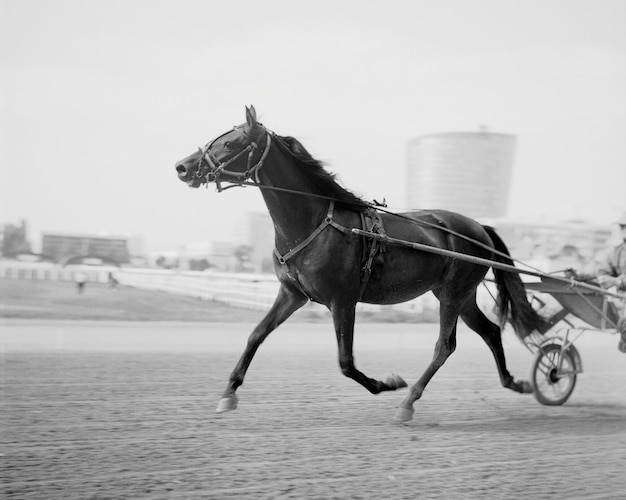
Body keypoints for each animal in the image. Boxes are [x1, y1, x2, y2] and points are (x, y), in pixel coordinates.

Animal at [172, 106, 540, 422]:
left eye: (231, 143)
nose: (182, 167)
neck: (315, 221)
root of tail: (480, 227)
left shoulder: (342, 299)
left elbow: (345, 362)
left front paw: (388, 383)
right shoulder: (292, 294)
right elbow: (255, 335)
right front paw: (228, 392)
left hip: (453, 292)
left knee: (444, 346)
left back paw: (409, 401)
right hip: (459, 294)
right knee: (490, 331)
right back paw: (514, 382)